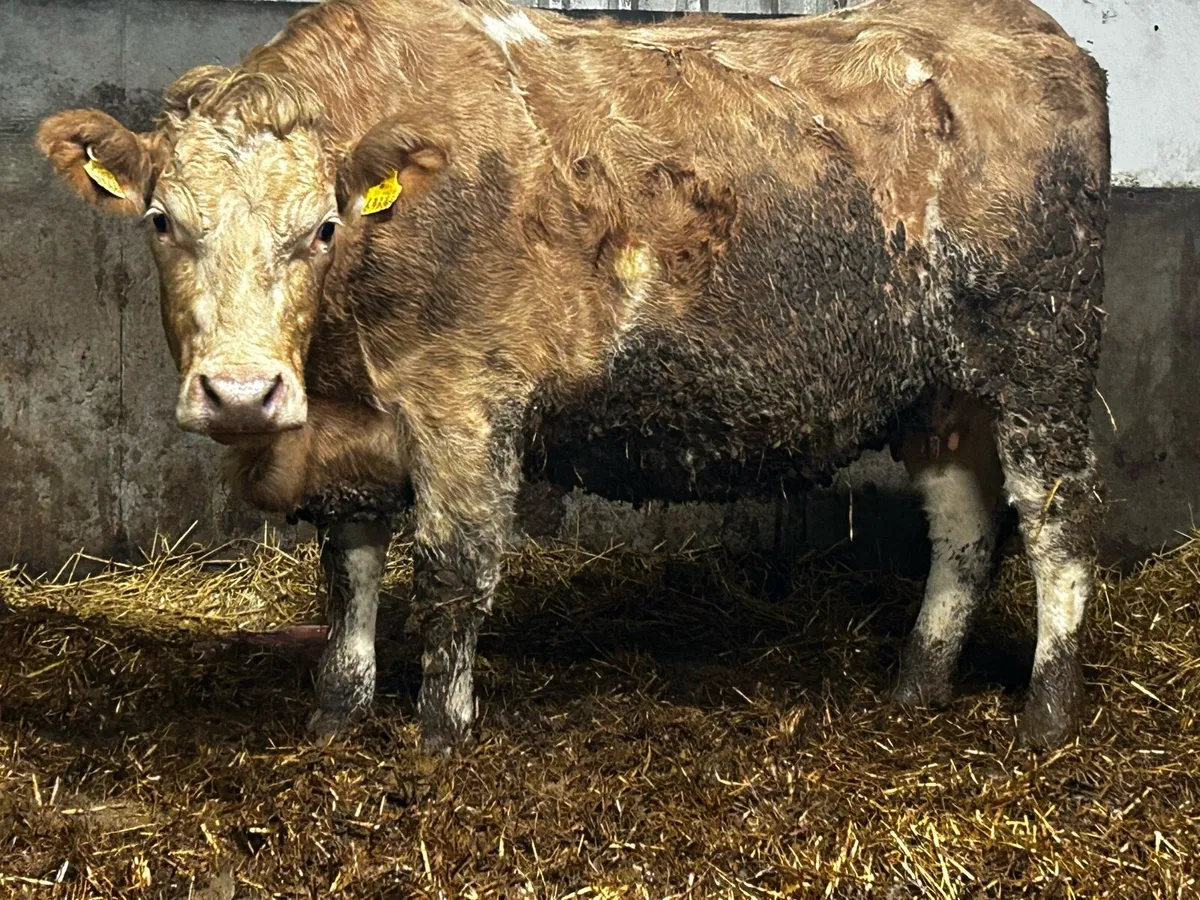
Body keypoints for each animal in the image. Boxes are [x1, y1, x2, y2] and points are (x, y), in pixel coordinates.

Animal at [37, 0, 1110, 755]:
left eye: (325, 227)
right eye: (162, 220)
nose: (240, 393)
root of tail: (1028, 30)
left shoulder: (467, 399)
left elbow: (452, 571)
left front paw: (438, 737)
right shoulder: (352, 430)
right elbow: (347, 573)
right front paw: (336, 719)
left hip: (1042, 360)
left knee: (1056, 526)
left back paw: (1047, 716)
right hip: (943, 391)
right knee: (965, 529)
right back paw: (915, 688)